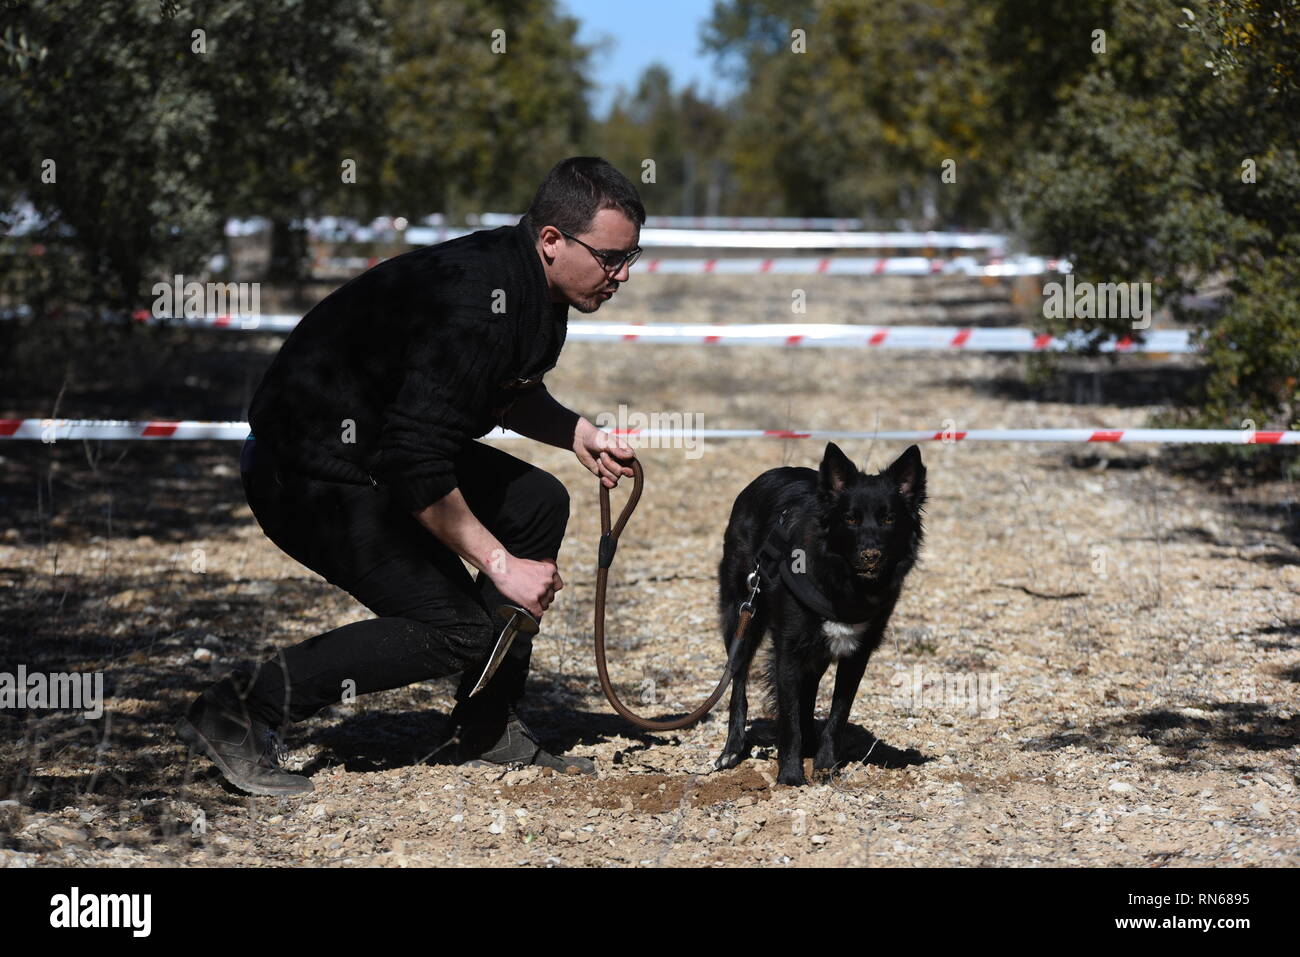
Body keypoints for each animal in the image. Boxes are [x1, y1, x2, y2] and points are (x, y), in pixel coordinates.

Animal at [722, 442, 925, 785]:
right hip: (743, 615)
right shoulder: (788, 649)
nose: (871, 555)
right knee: (738, 682)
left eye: (888, 519)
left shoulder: (857, 655)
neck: (843, 583)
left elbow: (837, 715)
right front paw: (791, 774)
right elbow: (789, 716)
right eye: (851, 519)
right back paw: (732, 748)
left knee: (807, 693)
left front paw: (825, 765)